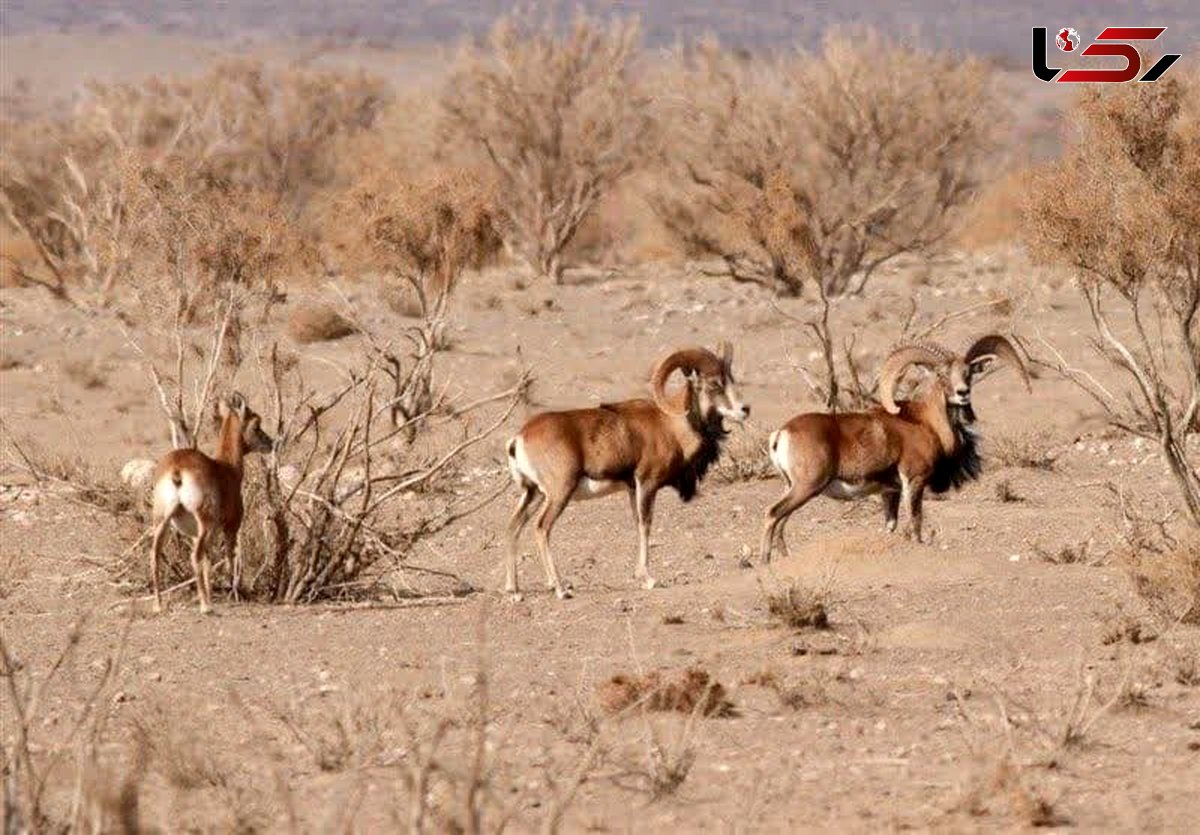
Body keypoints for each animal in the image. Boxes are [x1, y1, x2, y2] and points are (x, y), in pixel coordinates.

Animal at [506, 343, 748, 597]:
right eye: (714, 384)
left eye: (730, 379)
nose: (744, 409)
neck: (670, 425)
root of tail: (519, 438)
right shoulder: (647, 485)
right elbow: (645, 525)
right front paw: (648, 579)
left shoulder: (633, 490)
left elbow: (637, 523)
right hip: (558, 494)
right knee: (542, 528)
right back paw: (560, 588)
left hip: (533, 494)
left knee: (513, 527)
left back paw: (514, 590)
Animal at [758, 333, 1032, 561]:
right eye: (942, 375)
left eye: (968, 373)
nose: (962, 393)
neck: (926, 423)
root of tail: (782, 433)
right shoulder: (915, 481)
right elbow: (916, 522)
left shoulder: (890, 492)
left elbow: (891, 526)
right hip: (806, 487)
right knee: (772, 514)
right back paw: (764, 561)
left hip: (796, 488)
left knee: (781, 521)